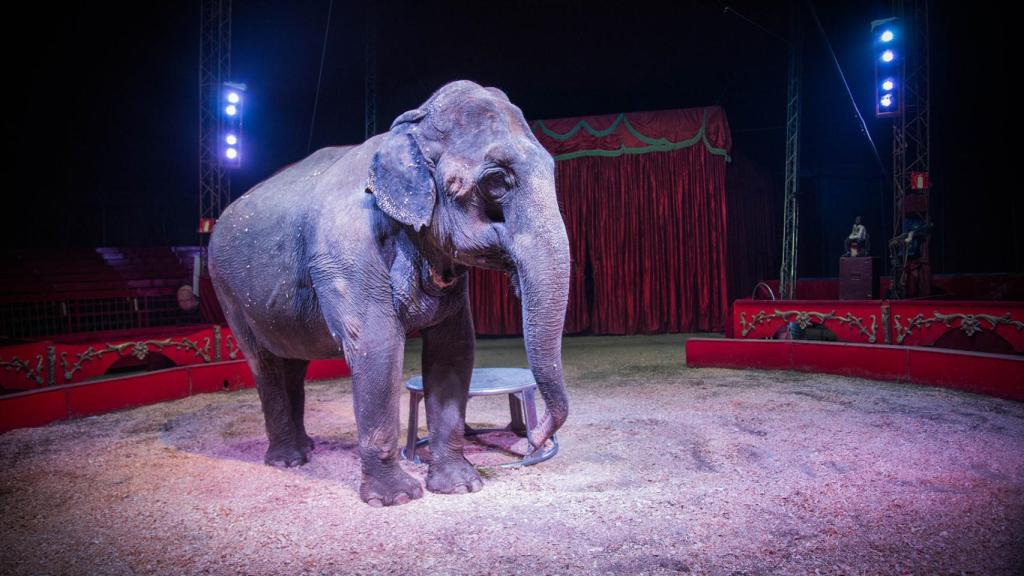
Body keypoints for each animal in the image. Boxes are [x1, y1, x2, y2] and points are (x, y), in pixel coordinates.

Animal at [208, 79, 573, 502]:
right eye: (496, 181)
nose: (529, 441)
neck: (406, 128)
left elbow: (454, 348)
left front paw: (460, 486)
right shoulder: (346, 249)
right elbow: (377, 344)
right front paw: (396, 498)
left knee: (293, 362)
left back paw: (306, 449)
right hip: (227, 291)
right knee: (264, 363)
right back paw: (287, 460)